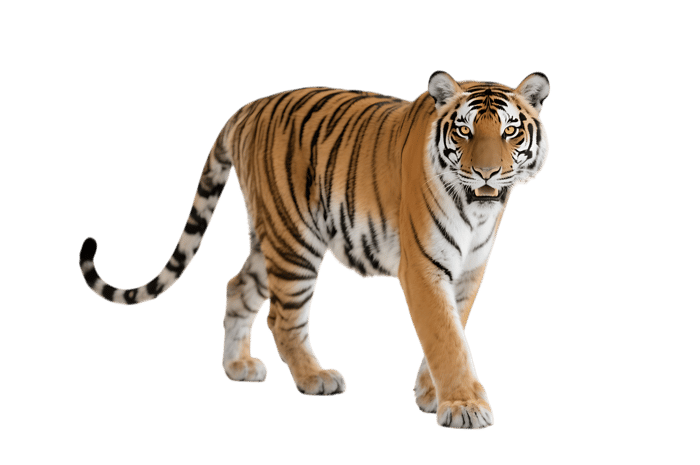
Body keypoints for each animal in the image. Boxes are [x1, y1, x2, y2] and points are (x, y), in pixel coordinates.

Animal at [78, 70, 551, 430]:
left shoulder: (469, 270)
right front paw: (465, 406)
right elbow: (447, 337)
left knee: (237, 286)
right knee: (283, 318)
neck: (476, 212)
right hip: (294, 241)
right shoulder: (424, 267)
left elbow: (456, 327)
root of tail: (247, 108)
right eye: (464, 130)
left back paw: (238, 367)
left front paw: (432, 393)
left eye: (510, 130)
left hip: (270, 238)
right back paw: (314, 377)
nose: (487, 172)